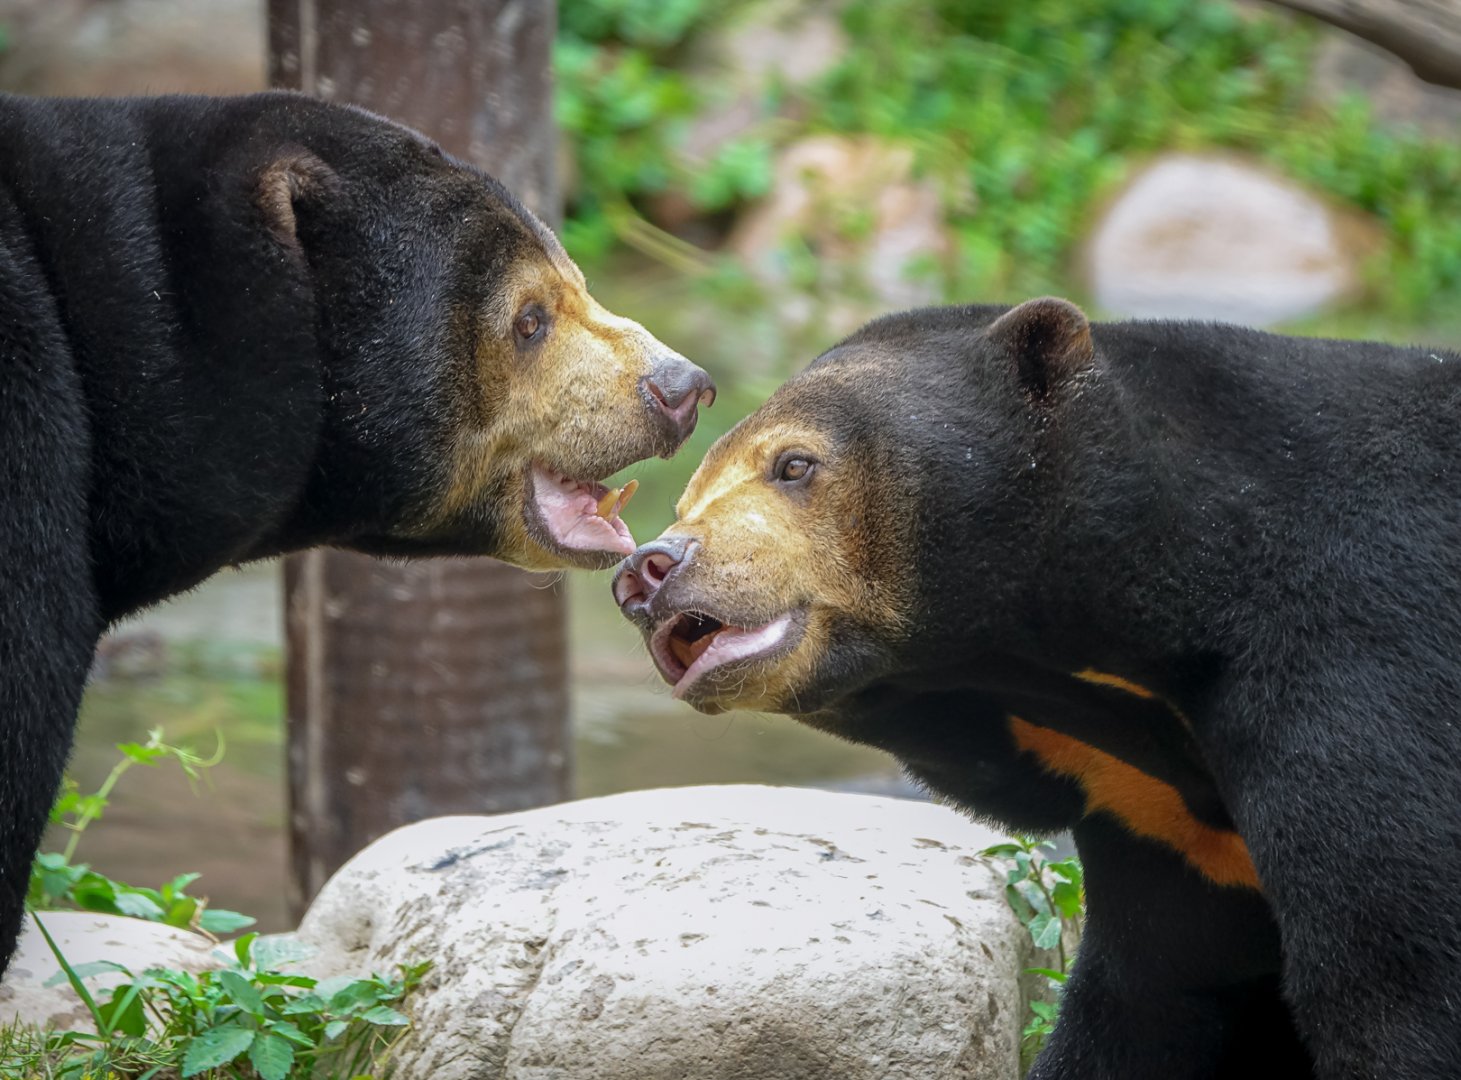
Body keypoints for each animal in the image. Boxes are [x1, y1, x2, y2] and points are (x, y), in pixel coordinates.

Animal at [613, 296, 1461, 1078]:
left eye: (793, 465)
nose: (648, 570)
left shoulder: (1360, 664)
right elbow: (1154, 999)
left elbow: (1398, 986)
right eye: (688, 497)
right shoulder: (1164, 825)